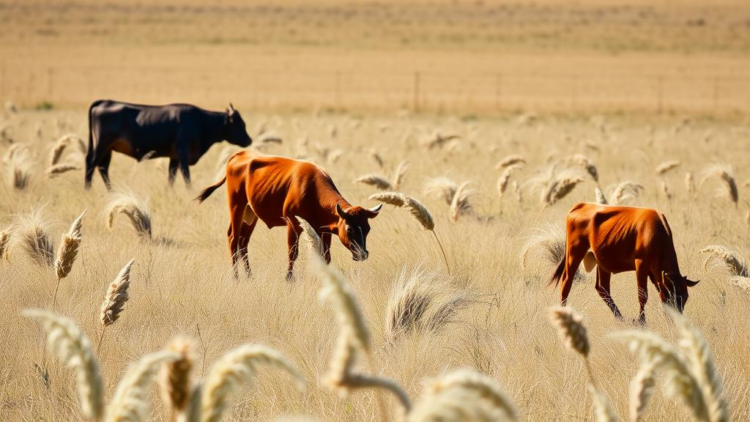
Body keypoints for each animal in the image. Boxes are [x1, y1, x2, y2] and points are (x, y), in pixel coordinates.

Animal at [85, 100, 252, 190]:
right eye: (239, 124)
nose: (249, 140)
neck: (201, 123)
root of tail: (106, 101)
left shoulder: (174, 157)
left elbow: (171, 176)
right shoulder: (183, 154)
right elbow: (186, 176)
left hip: (108, 149)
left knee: (103, 168)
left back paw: (111, 191)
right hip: (102, 145)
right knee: (91, 164)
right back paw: (88, 189)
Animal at [195, 151, 382, 280]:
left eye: (367, 229)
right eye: (350, 229)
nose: (363, 254)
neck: (312, 190)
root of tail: (240, 154)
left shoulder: (324, 230)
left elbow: (326, 256)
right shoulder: (292, 223)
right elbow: (292, 252)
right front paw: (289, 279)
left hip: (251, 214)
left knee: (243, 242)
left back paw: (249, 276)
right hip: (236, 207)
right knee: (233, 239)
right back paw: (236, 277)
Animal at [550, 202, 699, 324]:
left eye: (685, 297)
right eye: (671, 296)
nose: (677, 320)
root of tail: (583, 205)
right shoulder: (641, 263)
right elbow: (642, 294)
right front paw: (641, 321)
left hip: (601, 262)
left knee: (602, 288)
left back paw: (620, 317)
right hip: (574, 253)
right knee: (567, 282)